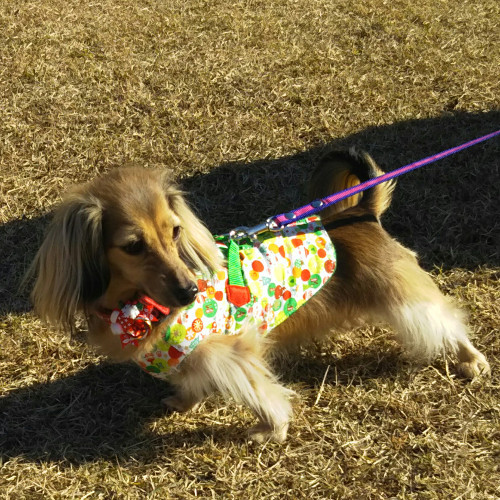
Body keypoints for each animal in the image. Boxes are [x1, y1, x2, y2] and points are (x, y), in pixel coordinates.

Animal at [27, 151, 488, 442]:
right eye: (133, 246)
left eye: (175, 231)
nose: (190, 291)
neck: (139, 307)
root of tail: (361, 213)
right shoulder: (194, 356)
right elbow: (191, 380)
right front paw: (184, 401)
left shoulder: (233, 354)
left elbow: (263, 395)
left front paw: (273, 430)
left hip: (405, 298)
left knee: (445, 321)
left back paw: (471, 360)